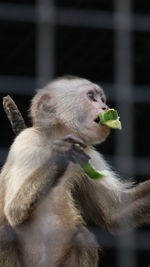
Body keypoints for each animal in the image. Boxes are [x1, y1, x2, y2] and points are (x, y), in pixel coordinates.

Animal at [0, 76, 150, 267]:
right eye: (91, 97)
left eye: (102, 99)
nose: (105, 108)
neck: (53, 139)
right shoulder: (27, 141)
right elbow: (13, 211)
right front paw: (60, 156)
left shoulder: (89, 154)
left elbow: (116, 213)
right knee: (4, 233)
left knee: (84, 239)